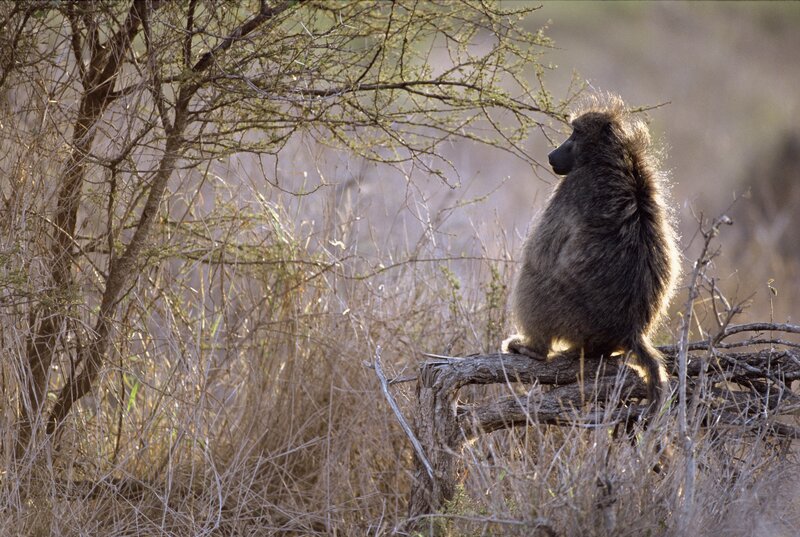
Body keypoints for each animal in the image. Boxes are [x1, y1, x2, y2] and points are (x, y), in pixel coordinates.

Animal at [503, 95, 679, 410]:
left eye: (574, 133)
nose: (552, 155)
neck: (616, 157)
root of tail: (631, 330)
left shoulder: (573, 186)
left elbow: (540, 255)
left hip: (566, 314)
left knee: (532, 279)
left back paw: (532, 348)